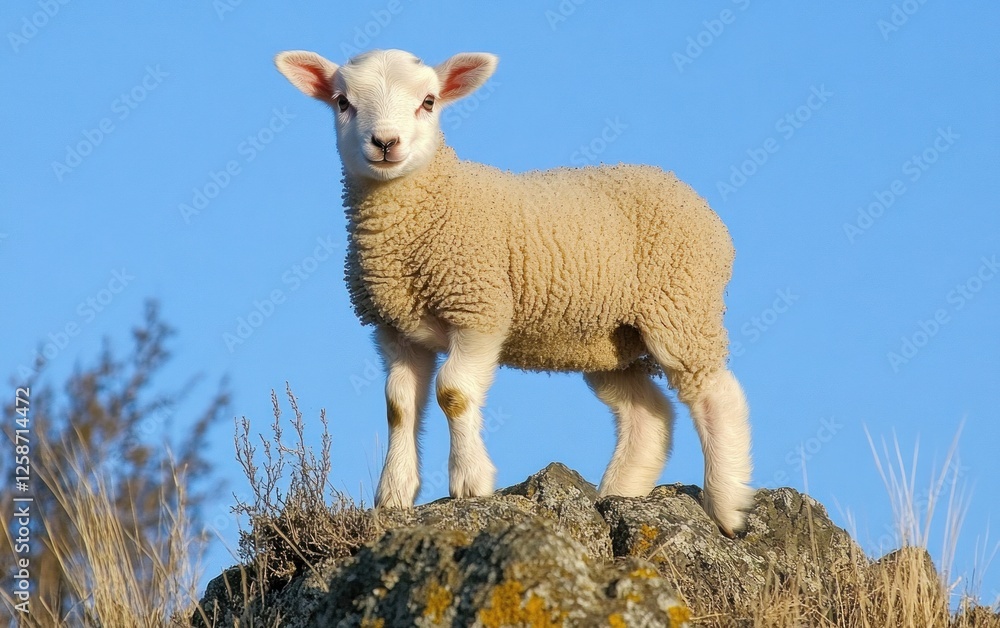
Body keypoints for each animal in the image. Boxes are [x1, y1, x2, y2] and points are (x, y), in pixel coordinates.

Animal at [275, 48, 754, 536]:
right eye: (342, 102)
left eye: (429, 101)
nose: (385, 142)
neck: (412, 224)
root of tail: (697, 203)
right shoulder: (395, 328)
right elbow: (399, 406)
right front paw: (394, 494)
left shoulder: (479, 308)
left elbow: (453, 392)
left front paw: (470, 482)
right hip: (608, 341)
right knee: (647, 415)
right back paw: (619, 495)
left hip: (680, 305)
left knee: (715, 393)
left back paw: (727, 504)